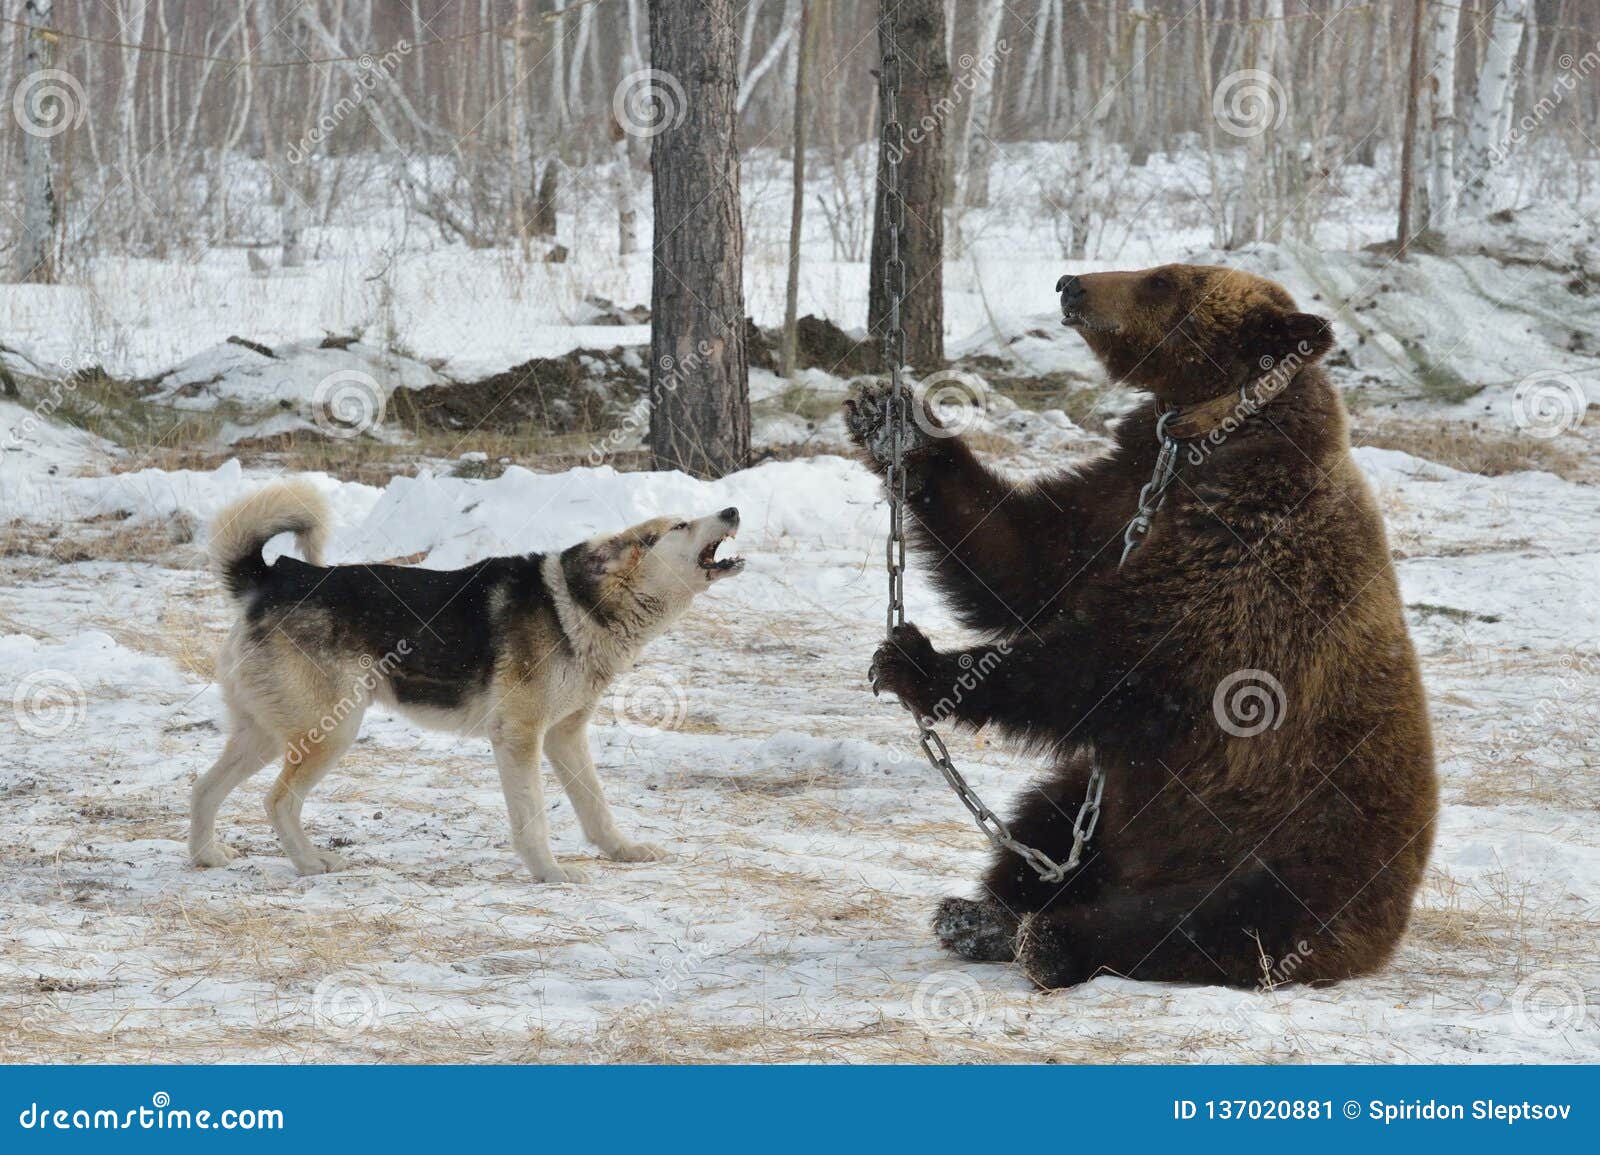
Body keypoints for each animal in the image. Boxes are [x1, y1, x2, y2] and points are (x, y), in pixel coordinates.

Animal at [188, 476, 742, 883]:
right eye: (681, 524)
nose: (733, 511)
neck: (581, 606)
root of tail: (274, 578)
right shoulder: (519, 737)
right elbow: (533, 819)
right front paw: (550, 873)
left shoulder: (565, 736)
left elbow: (596, 808)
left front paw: (622, 851)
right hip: (332, 732)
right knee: (277, 801)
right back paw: (310, 863)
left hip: (267, 735)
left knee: (203, 787)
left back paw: (206, 856)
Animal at [851, 265, 1440, 985]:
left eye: (1164, 280)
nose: (1070, 283)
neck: (1201, 437)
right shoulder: (1121, 495)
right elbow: (1025, 556)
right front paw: (893, 421)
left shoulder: (1244, 549)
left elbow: (1117, 661)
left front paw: (919, 661)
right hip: (1117, 807)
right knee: (1053, 817)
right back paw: (983, 914)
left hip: (1300, 844)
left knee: (1215, 919)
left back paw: (1053, 939)